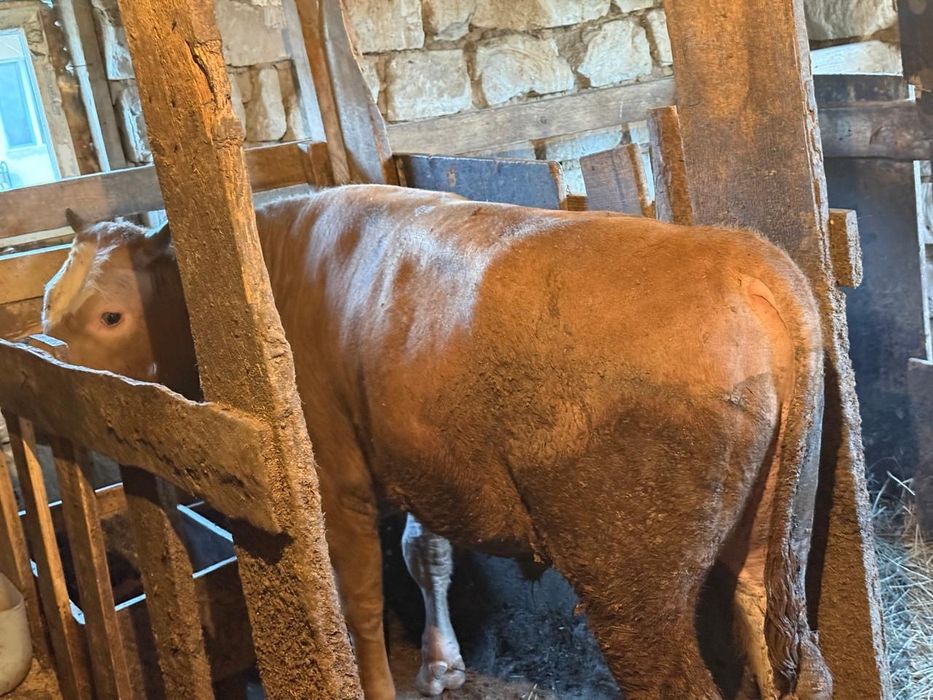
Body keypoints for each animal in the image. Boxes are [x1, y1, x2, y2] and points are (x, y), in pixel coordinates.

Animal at [42, 185, 831, 700]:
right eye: (49, 300)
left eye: (111, 315)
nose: (52, 388)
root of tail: (737, 254)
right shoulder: (424, 462)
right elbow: (426, 552)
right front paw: (440, 664)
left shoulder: (336, 478)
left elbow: (359, 598)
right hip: (774, 532)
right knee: (791, 656)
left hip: (630, 576)